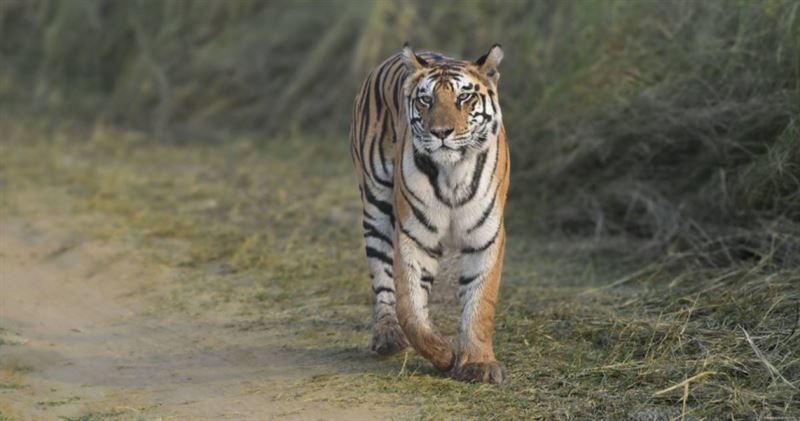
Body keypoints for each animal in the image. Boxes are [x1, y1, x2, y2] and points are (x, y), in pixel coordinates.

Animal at [350, 43, 509, 385]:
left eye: (464, 97)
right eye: (426, 100)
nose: (441, 132)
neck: (452, 174)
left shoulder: (486, 236)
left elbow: (480, 301)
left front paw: (479, 363)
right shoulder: (414, 235)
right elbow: (410, 309)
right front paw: (443, 354)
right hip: (375, 206)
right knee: (382, 279)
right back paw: (388, 336)